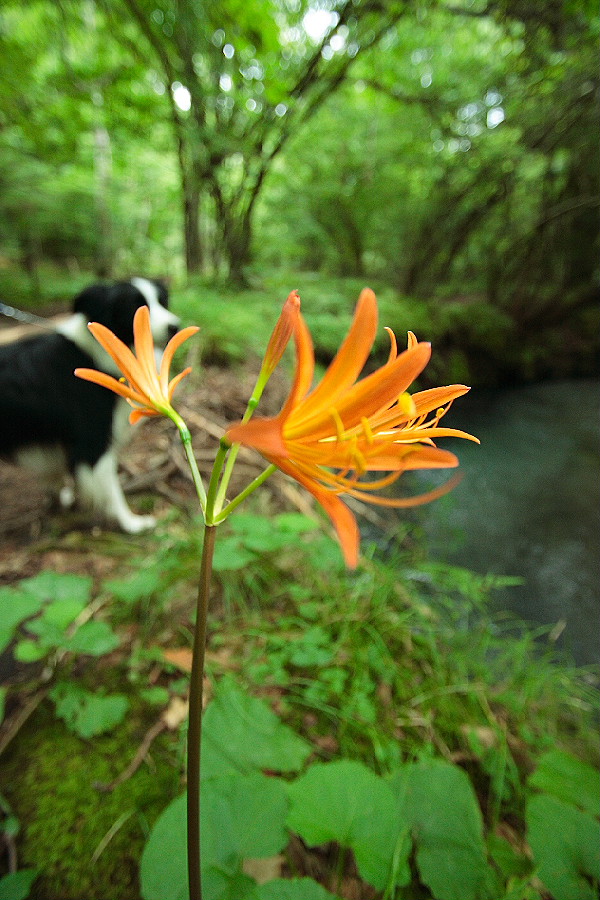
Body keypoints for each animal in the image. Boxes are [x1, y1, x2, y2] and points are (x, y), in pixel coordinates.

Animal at [0, 277, 181, 533]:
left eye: (162, 301)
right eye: (135, 306)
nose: (175, 326)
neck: (93, 355)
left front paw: (61, 500)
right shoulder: (92, 442)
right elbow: (112, 490)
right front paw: (131, 523)